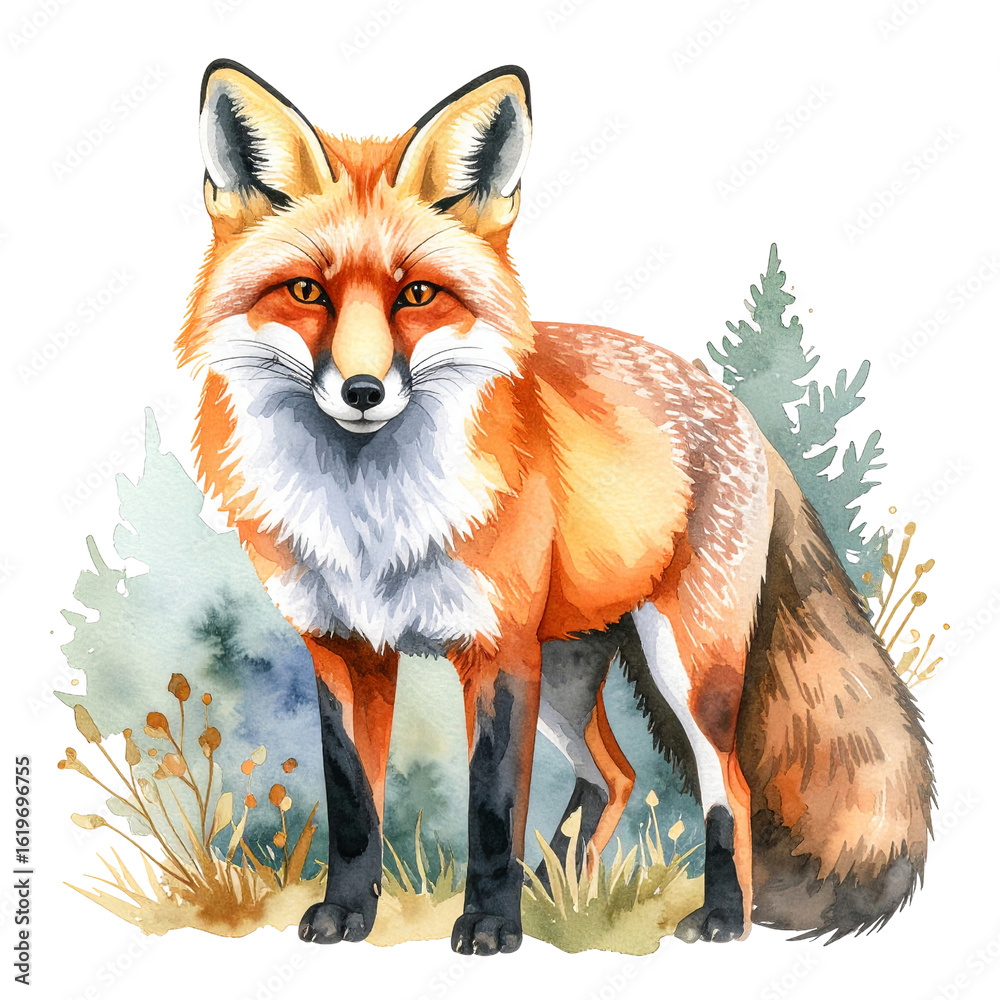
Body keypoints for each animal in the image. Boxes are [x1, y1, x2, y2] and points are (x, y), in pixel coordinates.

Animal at [177, 59, 934, 953]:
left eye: (418, 295)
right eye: (305, 292)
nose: (363, 390)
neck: (370, 522)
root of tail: (740, 413)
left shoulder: (499, 653)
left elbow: (492, 808)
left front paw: (490, 925)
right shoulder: (345, 651)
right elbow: (357, 805)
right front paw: (348, 913)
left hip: (683, 663)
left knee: (729, 786)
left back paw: (716, 915)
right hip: (571, 675)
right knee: (615, 776)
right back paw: (557, 894)